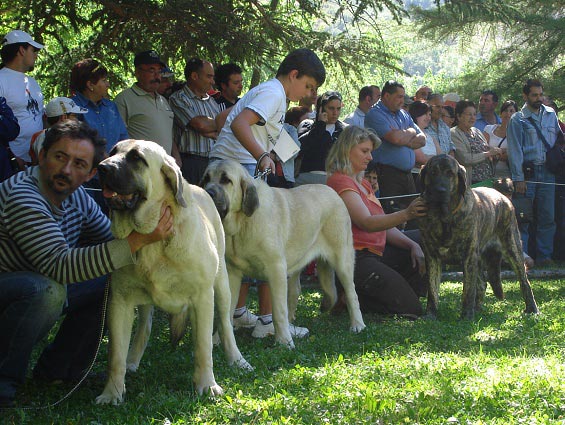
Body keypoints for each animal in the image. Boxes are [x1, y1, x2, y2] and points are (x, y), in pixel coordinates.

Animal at [96, 140, 250, 404]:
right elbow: (115, 354)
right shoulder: (119, 301)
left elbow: (203, 347)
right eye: (113, 152)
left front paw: (207, 385)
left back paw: (237, 359)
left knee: (225, 324)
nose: (102, 167)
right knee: (144, 326)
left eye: (136, 158)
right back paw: (132, 361)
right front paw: (112, 392)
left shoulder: (202, 297)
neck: (153, 241)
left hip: (221, 285)